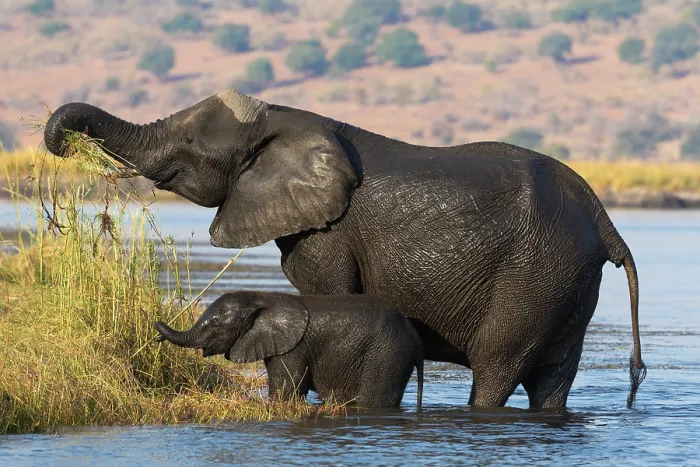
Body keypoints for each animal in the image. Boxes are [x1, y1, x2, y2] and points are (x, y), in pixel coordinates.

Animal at [155, 291, 424, 408]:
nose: (156, 330)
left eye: (218, 325)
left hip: (387, 354)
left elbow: (288, 388)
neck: (259, 299)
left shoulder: (293, 347)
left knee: (373, 400)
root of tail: (415, 336)